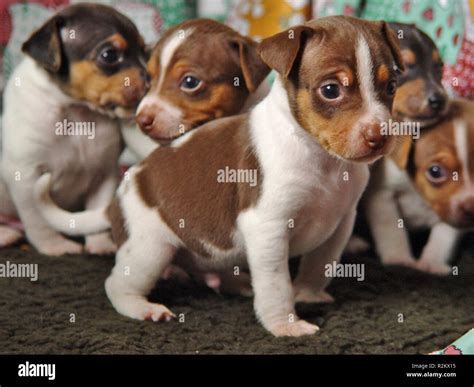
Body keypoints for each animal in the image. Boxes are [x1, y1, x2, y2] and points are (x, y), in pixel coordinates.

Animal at [0, 5, 148, 258]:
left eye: (145, 52)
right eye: (109, 55)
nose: (150, 79)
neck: (78, 113)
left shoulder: (103, 173)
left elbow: (96, 209)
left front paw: (100, 244)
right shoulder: (25, 176)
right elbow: (39, 219)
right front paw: (55, 246)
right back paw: (5, 234)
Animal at [362, 24, 456, 274]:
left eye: (440, 68)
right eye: (401, 67)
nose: (439, 101)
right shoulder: (381, 195)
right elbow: (392, 232)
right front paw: (399, 259)